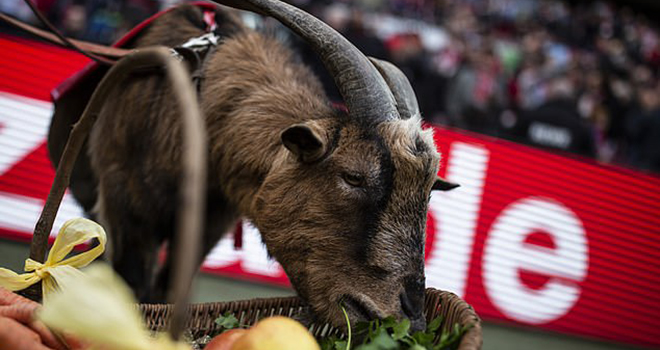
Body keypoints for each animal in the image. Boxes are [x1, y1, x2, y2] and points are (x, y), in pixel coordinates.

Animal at [47, 0, 458, 330]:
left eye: (427, 196)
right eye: (353, 177)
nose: (411, 317)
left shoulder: (208, 223)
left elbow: (167, 288)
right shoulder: (126, 208)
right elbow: (135, 286)